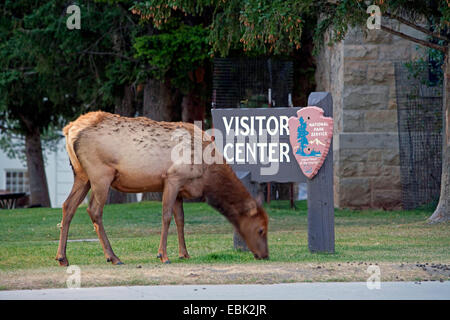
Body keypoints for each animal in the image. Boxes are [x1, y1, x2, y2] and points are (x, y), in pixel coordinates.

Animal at [55, 111, 268, 266]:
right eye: (261, 230)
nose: (265, 255)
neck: (207, 176)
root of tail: (69, 129)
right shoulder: (173, 178)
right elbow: (166, 216)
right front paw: (163, 255)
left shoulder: (181, 189)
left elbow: (180, 219)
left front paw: (185, 254)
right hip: (101, 174)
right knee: (94, 210)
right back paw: (113, 257)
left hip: (81, 175)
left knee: (68, 206)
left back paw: (62, 257)